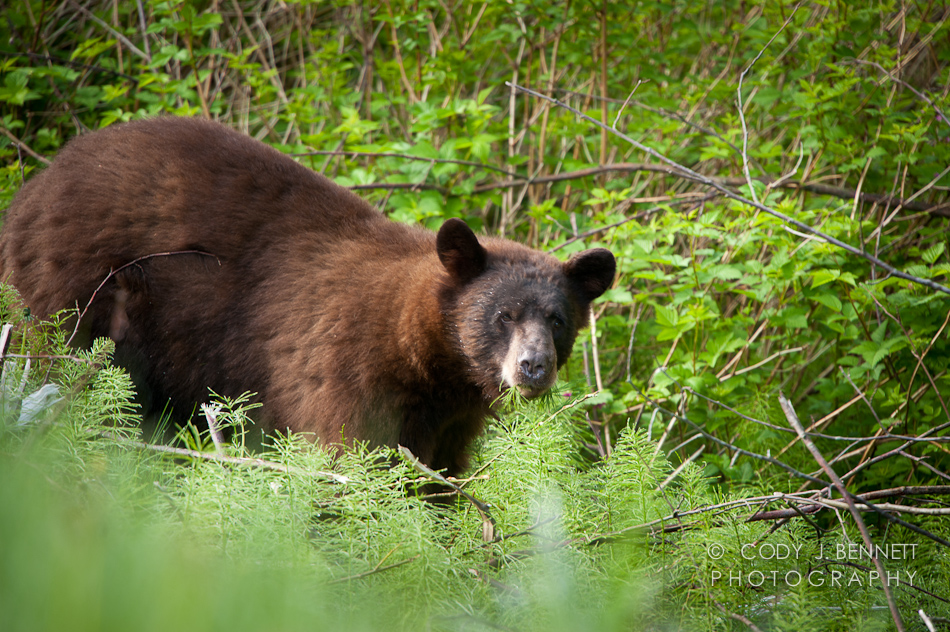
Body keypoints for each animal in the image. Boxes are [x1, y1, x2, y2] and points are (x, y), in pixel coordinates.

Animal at [0, 117, 616, 474]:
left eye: (557, 320)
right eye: (504, 315)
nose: (533, 367)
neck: (426, 359)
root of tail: (34, 185)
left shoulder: (448, 419)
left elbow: (440, 477)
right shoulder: (343, 366)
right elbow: (345, 457)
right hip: (75, 285)